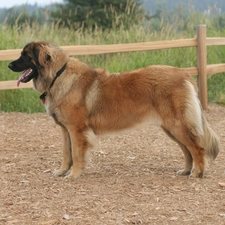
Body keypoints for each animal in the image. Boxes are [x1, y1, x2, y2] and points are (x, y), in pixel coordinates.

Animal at [8, 41, 220, 179]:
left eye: (26, 56)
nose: (9, 64)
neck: (58, 75)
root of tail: (184, 74)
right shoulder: (66, 130)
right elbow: (66, 154)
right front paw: (62, 172)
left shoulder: (77, 130)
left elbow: (76, 154)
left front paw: (73, 175)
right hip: (170, 128)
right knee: (187, 150)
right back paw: (186, 171)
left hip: (177, 126)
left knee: (197, 147)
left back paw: (198, 173)